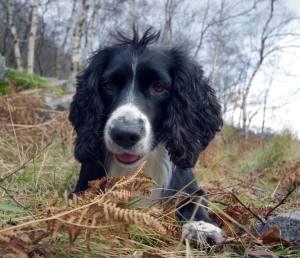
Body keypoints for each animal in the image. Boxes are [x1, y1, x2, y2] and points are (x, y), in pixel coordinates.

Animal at [68, 27, 223, 244]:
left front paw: (202, 227)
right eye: (108, 85)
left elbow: (194, 201)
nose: (124, 134)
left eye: (158, 87)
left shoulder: (191, 187)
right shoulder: (83, 188)